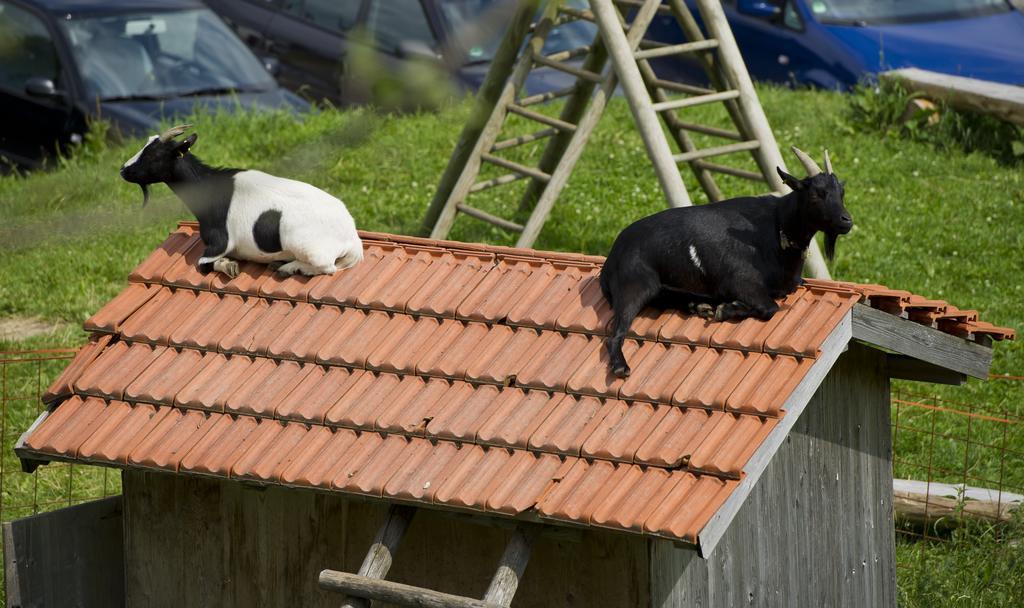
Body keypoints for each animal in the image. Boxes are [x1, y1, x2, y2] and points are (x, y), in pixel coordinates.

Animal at [119, 125, 362, 276]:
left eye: (153, 156)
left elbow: (203, 265)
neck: (210, 189)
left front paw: (228, 267)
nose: (123, 169)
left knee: (327, 267)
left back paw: (288, 268)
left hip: (305, 244)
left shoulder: (220, 242)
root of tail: (352, 238)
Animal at [598, 145, 851, 374]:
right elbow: (770, 307)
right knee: (615, 333)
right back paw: (621, 367)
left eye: (841, 192)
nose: (846, 220)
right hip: (635, 286)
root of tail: (612, 257)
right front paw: (727, 309)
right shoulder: (741, 282)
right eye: (816, 194)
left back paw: (700, 307)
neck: (776, 225)